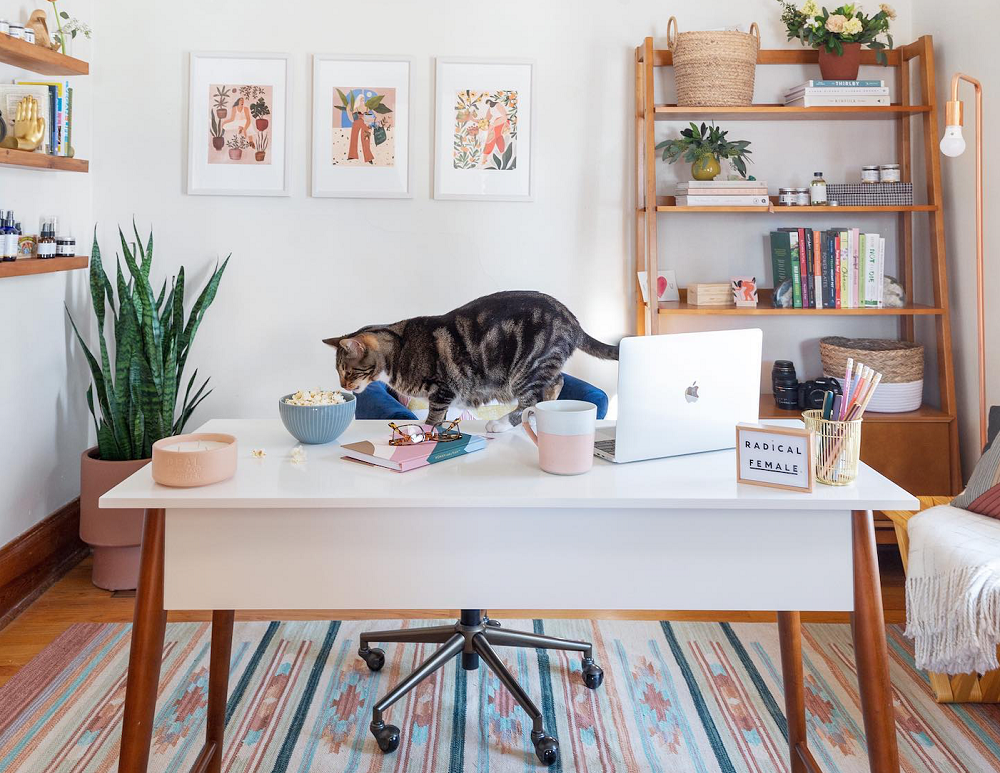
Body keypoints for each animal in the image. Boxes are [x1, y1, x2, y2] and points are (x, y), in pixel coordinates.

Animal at [324, 292, 616, 432]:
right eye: (339, 372)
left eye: (348, 371)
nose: (344, 386)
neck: (398, 346)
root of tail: (572, 320)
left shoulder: (443, 388)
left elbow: (434, 415)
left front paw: (426, 430)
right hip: (540, 367)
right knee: (556, 382)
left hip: (527, 367)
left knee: (533, 398)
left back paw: (502, 424)